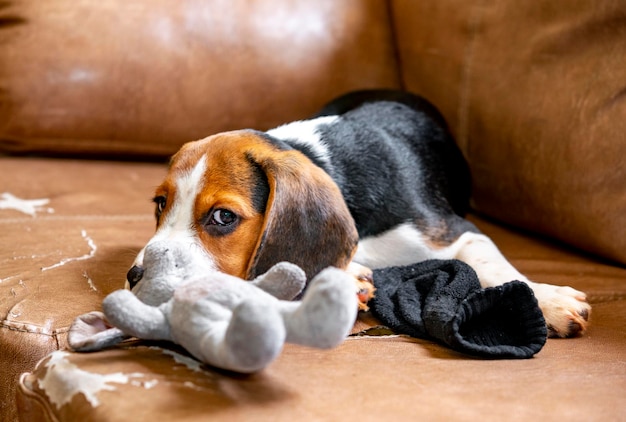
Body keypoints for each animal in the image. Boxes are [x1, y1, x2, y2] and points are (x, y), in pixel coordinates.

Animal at [128, 90, 588, 338]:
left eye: (223, 218)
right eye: (160, 204)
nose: (134, 277)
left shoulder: (454, 232)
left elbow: (494, 266)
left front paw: (547, 301)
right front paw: (348, 276)